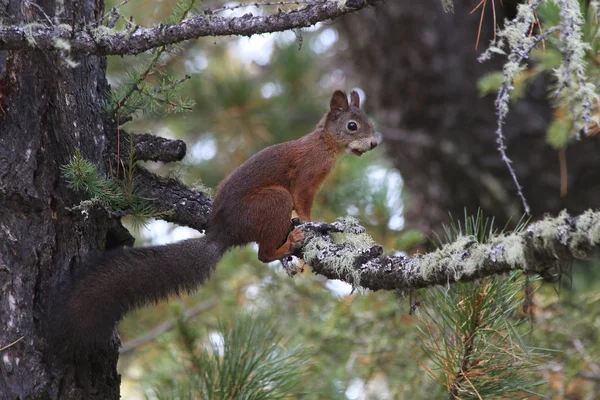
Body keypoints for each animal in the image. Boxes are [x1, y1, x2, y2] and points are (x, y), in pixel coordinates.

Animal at [51, 90, 380, 350]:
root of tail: (223, 233)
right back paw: (289, 242)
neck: (324, 143)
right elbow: (304, 203)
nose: (375, 143)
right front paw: (314, 222)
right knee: (263, 254)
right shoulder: (306, 177)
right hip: (273, 200)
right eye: (352, 125)